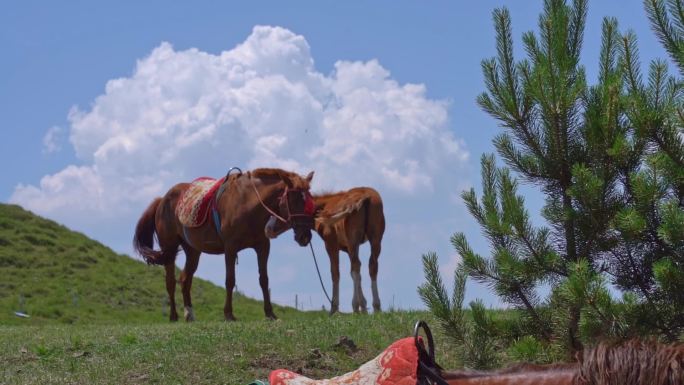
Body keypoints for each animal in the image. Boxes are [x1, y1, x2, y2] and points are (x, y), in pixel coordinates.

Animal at [134, 168, 316, 320]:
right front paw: (228, 314)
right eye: (294, 200)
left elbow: (264, 280)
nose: (305, 236)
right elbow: (230, 280)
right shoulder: (230, 248)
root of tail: (161, 200)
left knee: (185, 279)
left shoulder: (263, 247)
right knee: (170, 282)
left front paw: (269, 313)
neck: (247, 205)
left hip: (193, 251)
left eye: (309, 201)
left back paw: (189, 314)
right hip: (169, 249)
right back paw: (173, 315)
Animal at [268, 187, 384, 316]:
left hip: (353, 241)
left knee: (357, 266)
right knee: (371, 266)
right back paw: (376, 307)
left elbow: (335, 273)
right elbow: (352, 273)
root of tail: (364, 195)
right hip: (376, 239)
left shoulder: (331, 244)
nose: (268, 229)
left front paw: (335, 308)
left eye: (281, 206)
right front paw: (359, 309)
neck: (324, 206)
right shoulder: (348, 249)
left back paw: (360, 305)